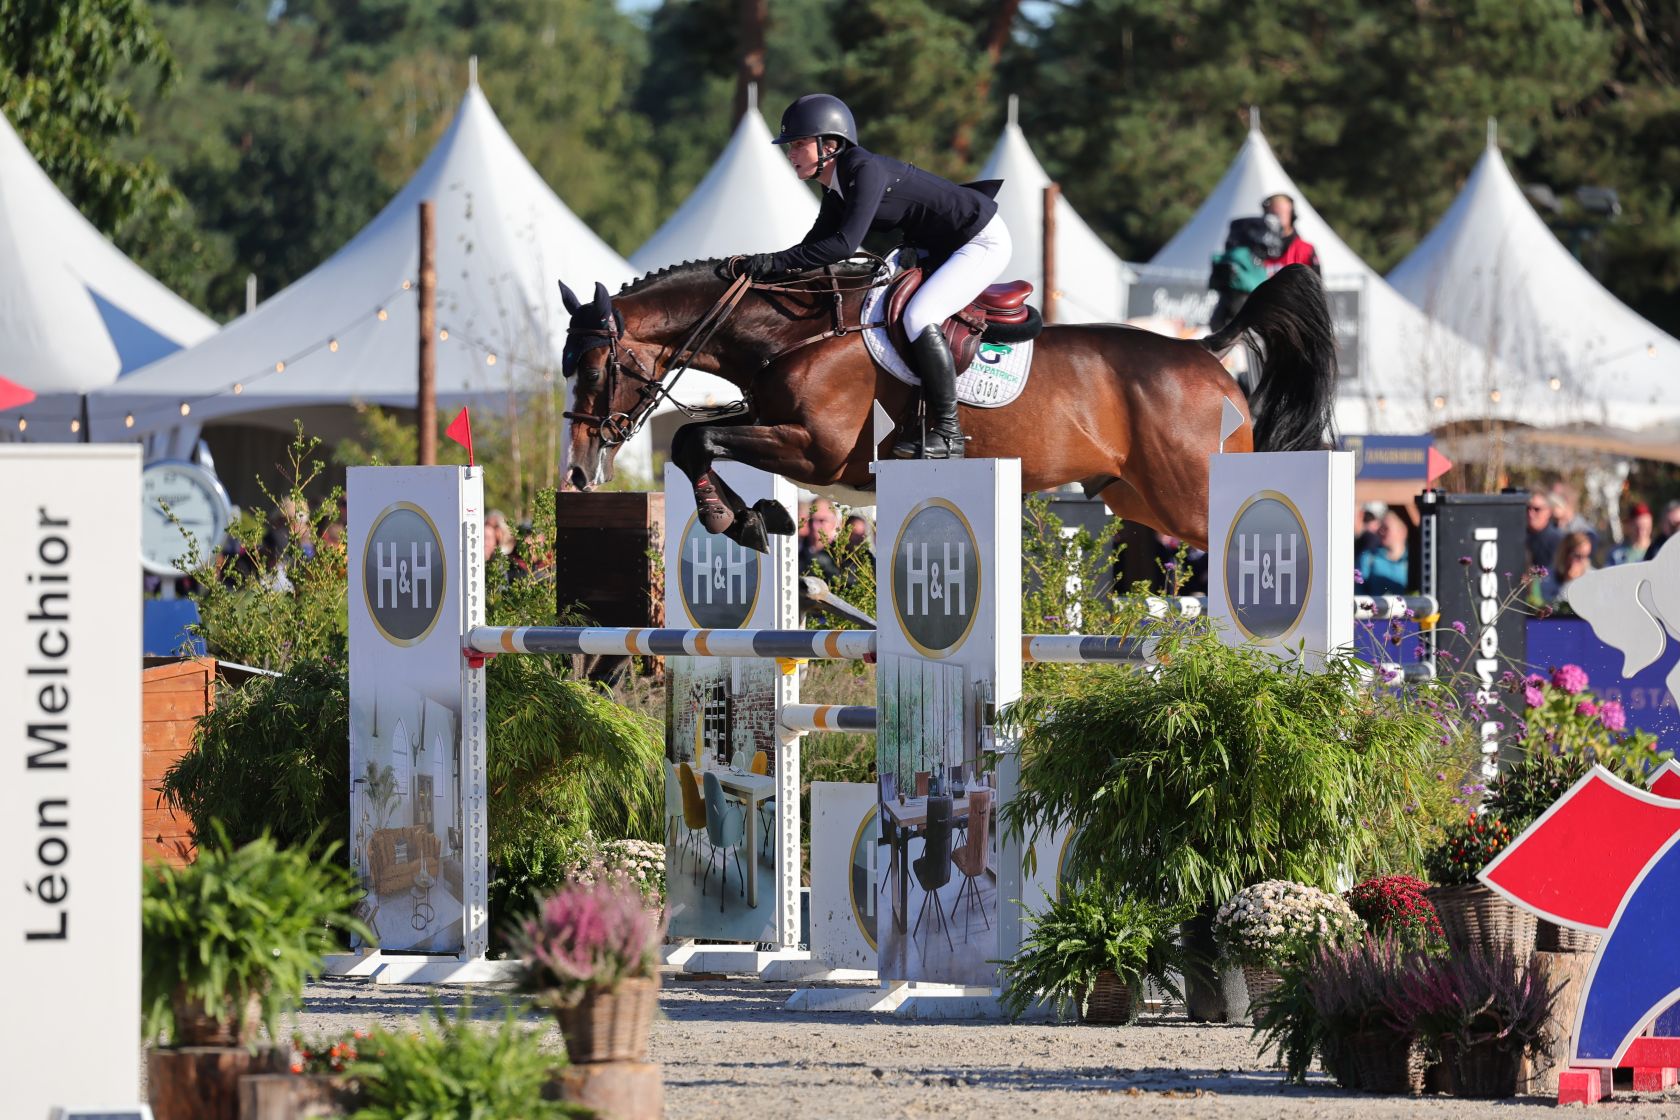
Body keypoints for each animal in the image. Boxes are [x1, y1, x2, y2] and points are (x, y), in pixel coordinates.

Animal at [557, 253, 1330, 550]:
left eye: (594, 369)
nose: (578, 472)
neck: (792, 331)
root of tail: (1207, 355)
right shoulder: (774, 424)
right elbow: (699, 441)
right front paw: (750, 518)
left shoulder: (817, 450)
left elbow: (698, 439)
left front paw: (735, 519)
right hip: (1137, 498)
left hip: (1188, 494)